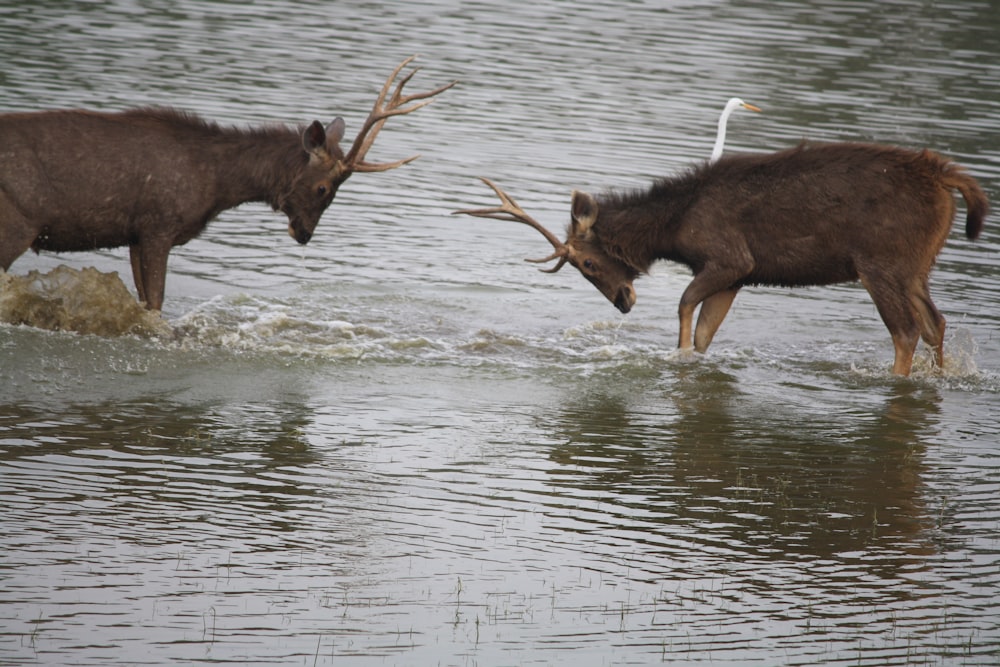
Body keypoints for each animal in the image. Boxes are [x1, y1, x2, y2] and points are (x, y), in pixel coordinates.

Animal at [0, 55, 454, 314]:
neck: (218, 185)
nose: (304, 234)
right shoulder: (158, 224)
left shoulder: (134, 233)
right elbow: (155, 305)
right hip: (16, 221)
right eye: (325, 189)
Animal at [458, 144, 988, 376]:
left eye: (586, 265)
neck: (672, 228)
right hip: (916, 265)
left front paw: (676, 355)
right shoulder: (737, 276)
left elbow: (684, 307)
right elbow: (707, 330)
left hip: (879, 262)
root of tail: (946, 178)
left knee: (906, 330)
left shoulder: (729, 259)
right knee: (936, 323)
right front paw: (692, 360)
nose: (624, 301)